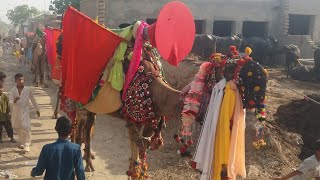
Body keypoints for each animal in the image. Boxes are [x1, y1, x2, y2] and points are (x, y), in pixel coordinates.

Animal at [53, 3, 268, 180]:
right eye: (249, 74)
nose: (260, 104)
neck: (154, 90)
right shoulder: (133, 120)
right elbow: (135, 158)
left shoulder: (150, 121)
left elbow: (141, 153)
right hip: (79, 97)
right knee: (82, 125)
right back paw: (86, 161)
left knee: (88, 126)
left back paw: (88, 156)